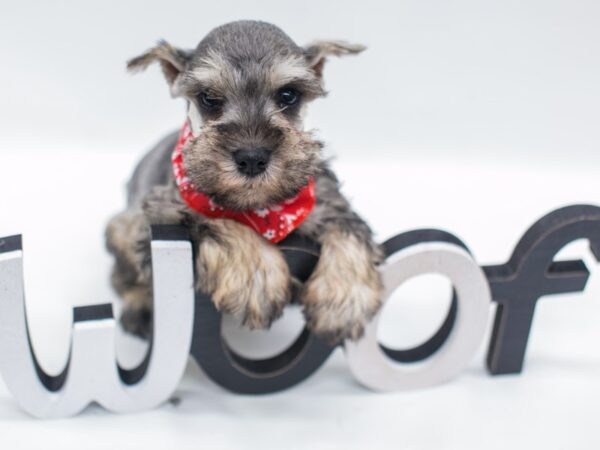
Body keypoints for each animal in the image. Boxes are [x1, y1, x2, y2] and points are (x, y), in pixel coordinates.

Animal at [105, 19, 382, 342]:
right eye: (209, 98)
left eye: (289, 95)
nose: (252, 159)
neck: (260, 211)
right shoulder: (163, 212)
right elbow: (219, 220)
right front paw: (257, 277)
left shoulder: (322, 197)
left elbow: (347, 226)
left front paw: (344, 299)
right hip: (122, 228)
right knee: (123, 277)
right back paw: (140, 310)